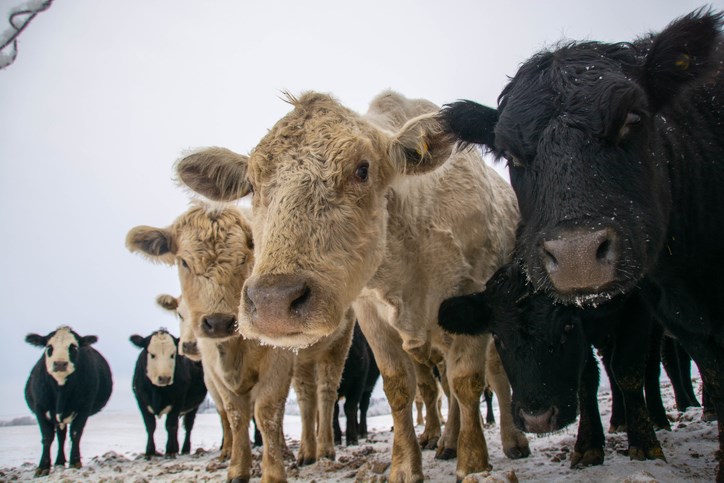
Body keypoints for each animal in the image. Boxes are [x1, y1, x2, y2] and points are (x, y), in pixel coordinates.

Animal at [24, 326, 113, 476]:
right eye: (49, 346)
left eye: (73, 347)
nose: (60, 363)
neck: (61, 390)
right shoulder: (40, 407)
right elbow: (47, 436)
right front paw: (43, 467)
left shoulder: (84, 407)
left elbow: (76, 433)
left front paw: (75, 462)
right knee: (61, 436)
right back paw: (59, 461)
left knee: (63, 435)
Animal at [129, 328, 206, 458]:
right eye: (152, 355)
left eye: (172, 355)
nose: (164, 378)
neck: (158, 391)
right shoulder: (140, 399)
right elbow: (150, 425)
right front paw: (150, 451)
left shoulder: (179, 398)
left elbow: (170, 425)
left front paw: (170, 450)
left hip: (194, 406)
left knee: (188, 426)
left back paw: (185, 449)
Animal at [436, 264, 668, 468]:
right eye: (497, 337)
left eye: (568, 326)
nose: (537, 419)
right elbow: (587, 380)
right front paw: (588, 447)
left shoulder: (636, 306)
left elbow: (627, 371)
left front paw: (645, 444)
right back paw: (620, 420)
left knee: (649, 367)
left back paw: (657, 418)